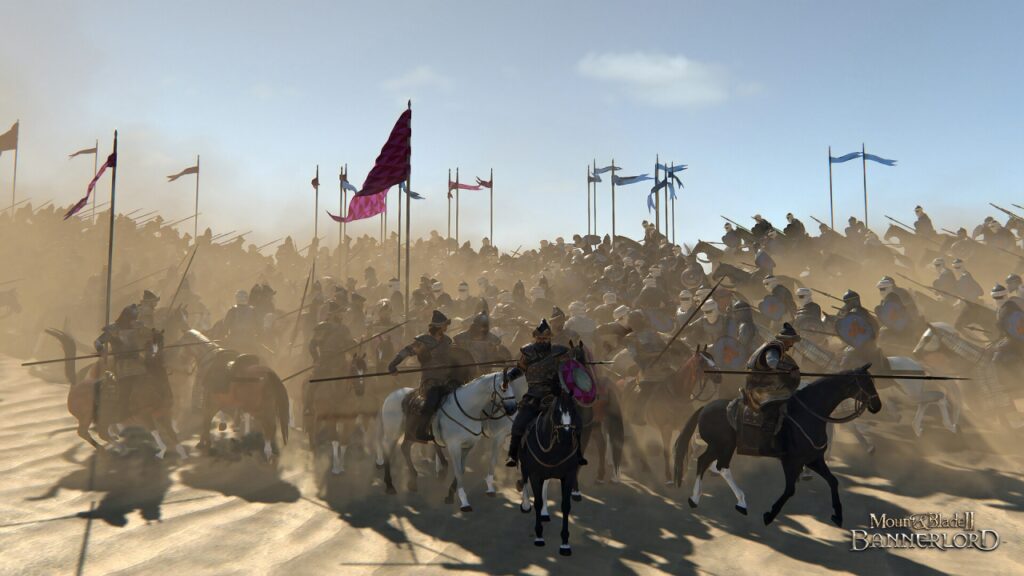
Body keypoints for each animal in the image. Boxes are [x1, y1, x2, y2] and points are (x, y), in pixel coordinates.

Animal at [44, 327, 186, 457]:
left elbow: (171, 432)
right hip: (87, 417)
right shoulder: (143, 414)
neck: (152, 380)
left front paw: (181, 452)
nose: (154, 354)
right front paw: (161, 451)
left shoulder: (163, 412)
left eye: (161, 339)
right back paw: (111, 448)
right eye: (147, 341)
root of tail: (74, 387)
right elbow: (155, 431)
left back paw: (119, 446)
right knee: (85, 432)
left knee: (102, 432)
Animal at [382, 368, 528, 508]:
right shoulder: (458, 445)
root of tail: (392, 395)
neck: (467, 409)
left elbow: (462, 469)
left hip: (411, 434)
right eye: (503, 387)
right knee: (388, 453)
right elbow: (463, 469)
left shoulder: (469, 445)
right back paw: (390, 486)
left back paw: (413, 481)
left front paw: (451, 494)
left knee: (405, 447)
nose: (512, 408)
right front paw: (463, 500)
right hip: (393, 433)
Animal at [516, 389, 581, 553]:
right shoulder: (535, 474)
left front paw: (565, 543)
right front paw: (539, 536)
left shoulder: (568, 476)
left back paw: (545, 512)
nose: (566, 437)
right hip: (525, 464)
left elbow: (566, 506)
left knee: (545, 484)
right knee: (524, 478)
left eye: (574, 411)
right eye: (557, 412)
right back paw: (526, 504)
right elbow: (537, 502)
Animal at [614, 344, 720, 483]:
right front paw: (669, 477)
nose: (719, 377)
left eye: (712, 358)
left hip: (640, 425)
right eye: (701, 361)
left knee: (639, 442)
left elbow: (687, 450)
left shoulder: (683, 428)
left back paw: (645, 466)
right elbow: (667, 452)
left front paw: (683, 474)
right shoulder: (666, 429)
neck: (677, 395)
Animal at [671, 362, 880, 524]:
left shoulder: (813, 459)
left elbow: (833, 481)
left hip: (720, 446)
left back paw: (697, 499)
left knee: (706, 462)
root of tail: (705, 408)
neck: (809, 413)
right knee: (717, 465)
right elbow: (789, 490)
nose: (877, 406)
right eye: (866, 383)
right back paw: (738, 501)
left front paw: (838, 515)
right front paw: (769, 515)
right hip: (723, 445)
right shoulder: (791, 461)